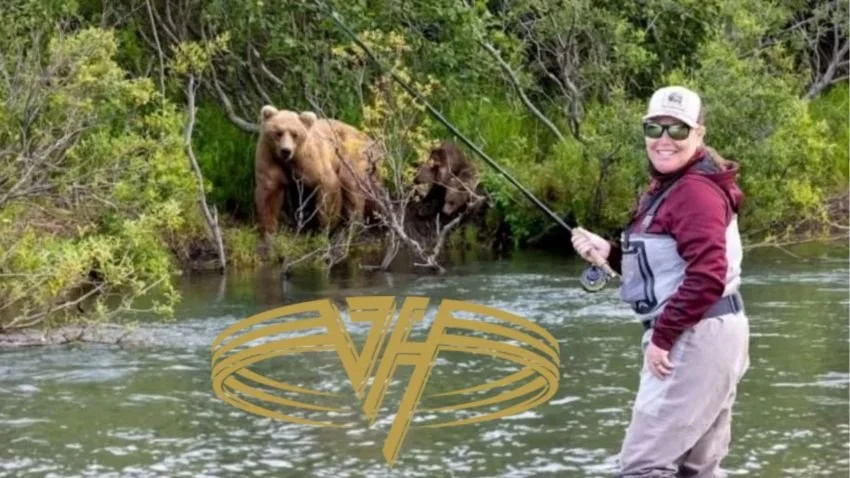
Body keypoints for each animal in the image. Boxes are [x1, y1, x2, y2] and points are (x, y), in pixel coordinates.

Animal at [254, 105, 383, 248]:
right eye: (278, 132)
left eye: (295, 134)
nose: (286, 150)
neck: (290, 161)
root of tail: (369, 138)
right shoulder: (269, 157)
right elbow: (269, 194)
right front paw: (269, 235)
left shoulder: (310, 159)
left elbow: (327, 185)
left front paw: (325, 229)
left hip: (353, 155)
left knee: (352, 187)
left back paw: (354, 227)